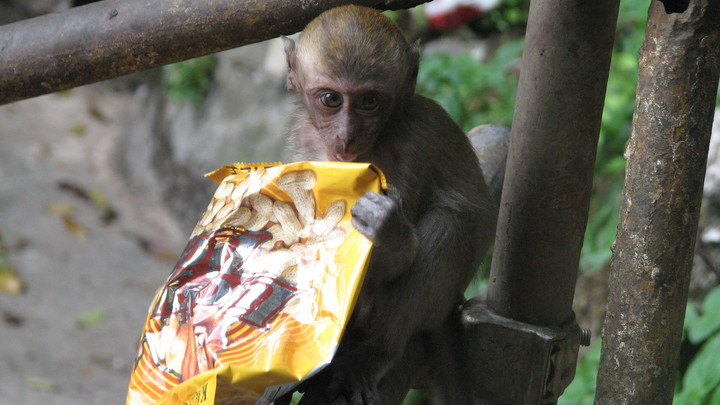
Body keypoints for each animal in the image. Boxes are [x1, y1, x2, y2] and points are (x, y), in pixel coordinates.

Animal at [280, 4, 496, 402]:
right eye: (331, 99)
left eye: (369, 102)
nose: (347, 137)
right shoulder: (303, 138)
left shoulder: (415, 145)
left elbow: (395, 261)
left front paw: (388, 231)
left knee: (449, 224)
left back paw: (378, 351)